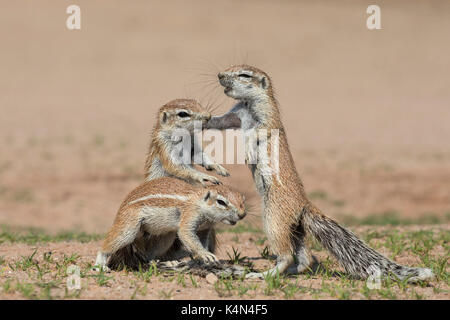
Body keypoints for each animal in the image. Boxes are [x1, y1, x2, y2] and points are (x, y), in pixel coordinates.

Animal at [94, 176, 246, 272]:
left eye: (242, 199)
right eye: (221, 202)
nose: (242, 214)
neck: (198, 202)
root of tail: (119, 211)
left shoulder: (205, 229)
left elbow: (202, 242)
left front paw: (203, 257)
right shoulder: (189, 216)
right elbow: (187, 234)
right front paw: (206, 255)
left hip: (166, 237)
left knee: (148, 255)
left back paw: (164, 262)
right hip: (129, 227)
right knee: (107, 245)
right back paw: (100, 265)